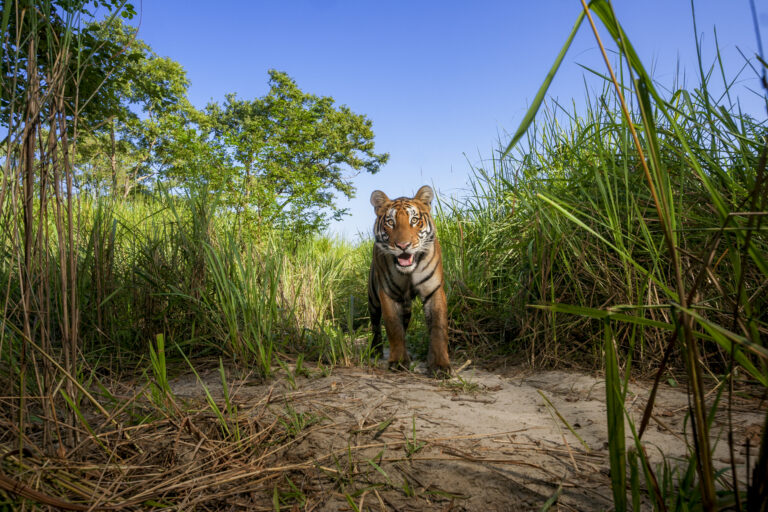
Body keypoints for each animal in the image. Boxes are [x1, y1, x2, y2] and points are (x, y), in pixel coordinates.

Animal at [367, 185, 451, 377]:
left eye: (414, 220)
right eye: (390, 222)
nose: (403, 246)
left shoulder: (433, 290)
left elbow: (438, 328)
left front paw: (440, 365)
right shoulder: (387, 294)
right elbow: (393, 328)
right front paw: (398, 361)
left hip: (405, 307)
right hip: (373, 298)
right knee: (375, 324)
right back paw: (375, 351)